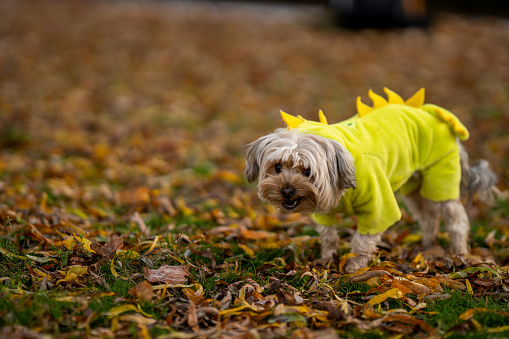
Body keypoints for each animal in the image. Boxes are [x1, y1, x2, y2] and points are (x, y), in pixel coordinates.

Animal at [245, 87, 496, 274]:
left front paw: (354, 265)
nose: (286, 191)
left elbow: (363, 239)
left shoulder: (378, 205)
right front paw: (327, 258)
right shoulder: (324, 210)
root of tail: (433, 112)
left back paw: (460, 253)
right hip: (413, 186)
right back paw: (428, 246)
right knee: (428, 217)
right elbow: (328, 234)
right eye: (277, 167)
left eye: (307, 171)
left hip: (441, 175)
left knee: (456, 219)